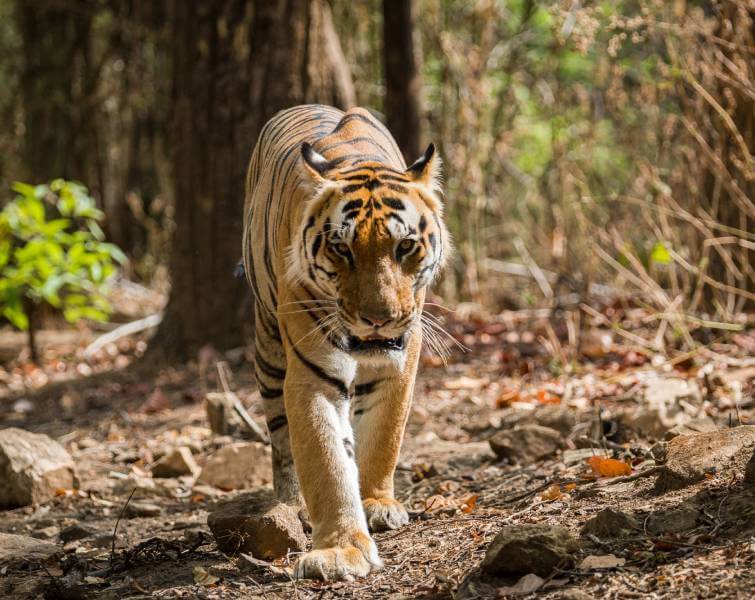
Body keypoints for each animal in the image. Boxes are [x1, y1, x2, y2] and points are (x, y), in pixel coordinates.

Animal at [242, 104, 448, 580]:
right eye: (341, 248)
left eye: (405, 246)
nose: (378, 319)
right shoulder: (312, 374)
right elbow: (326, 461)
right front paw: (340, 550)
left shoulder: (400, 364)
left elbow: (383, 437)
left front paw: (375, 503)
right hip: (268, 351)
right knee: (281, 442)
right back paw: (291, 506)